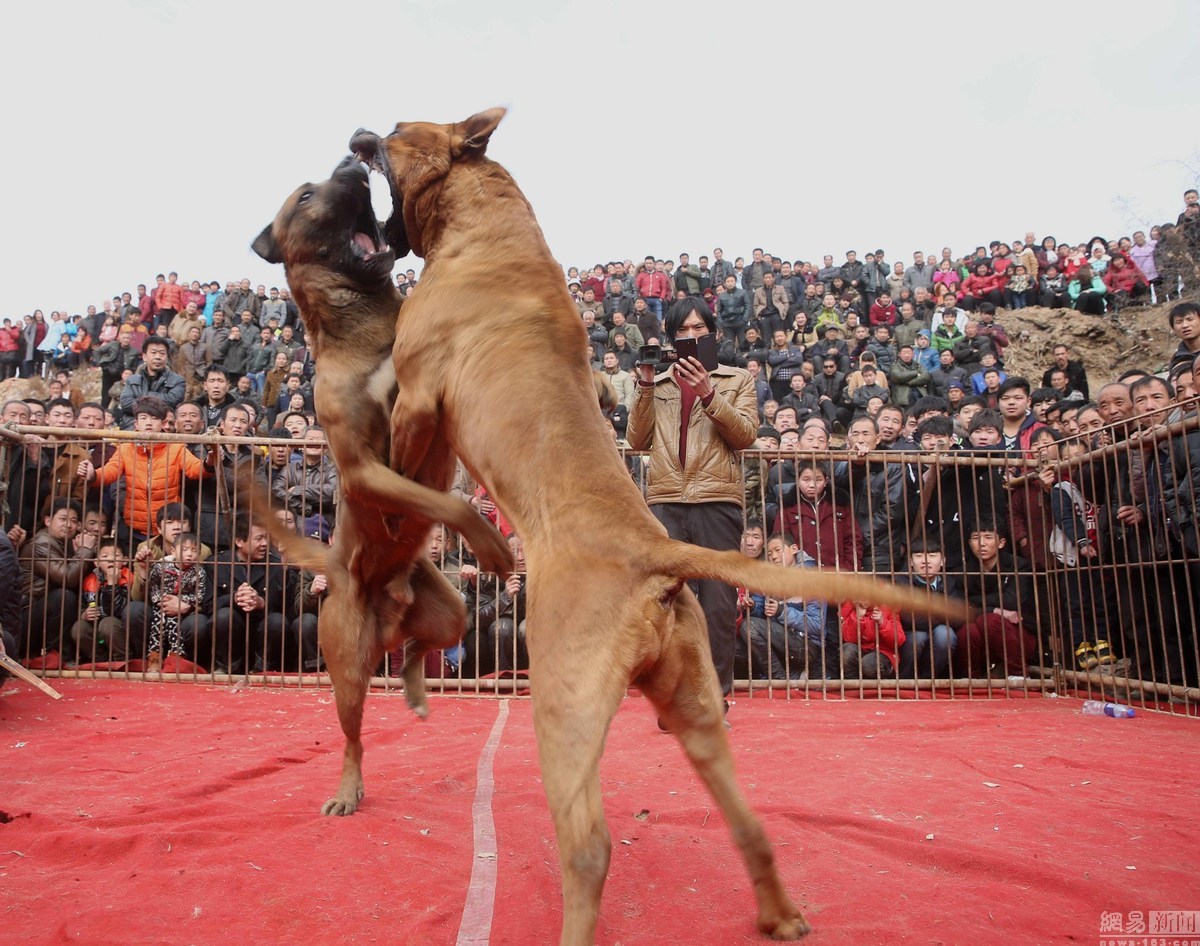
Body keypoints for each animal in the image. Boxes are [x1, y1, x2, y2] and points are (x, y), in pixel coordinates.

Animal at [250, 154, 513, 811]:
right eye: (308, 195)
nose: (351, 160)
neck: (367, 326)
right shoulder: (367, 470)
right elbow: (450, 503)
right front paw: (493, 545)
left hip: (450, 611)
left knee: (423, 648)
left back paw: (418, 690)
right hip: (345, 662)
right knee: (353, 734)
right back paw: (349, 787)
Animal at [350, 109, 969, 936]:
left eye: (396, 130)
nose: (358, 136)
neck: (483, 223)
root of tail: (654, 552)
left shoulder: (419, 398)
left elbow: (399, 468)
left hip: (564, 700)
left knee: (589, 846)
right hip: (695, 706)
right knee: (749, 821)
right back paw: (780, 913)